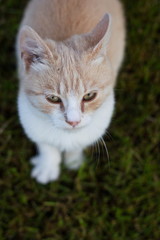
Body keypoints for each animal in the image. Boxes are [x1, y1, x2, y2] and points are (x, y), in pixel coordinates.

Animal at [16, 0, 126, 184]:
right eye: (53, 98)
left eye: (89, 96)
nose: (73, 121)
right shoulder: (30, 119)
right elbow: (46, 146)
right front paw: (48, 167)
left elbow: (78, 144)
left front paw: (74, 161)